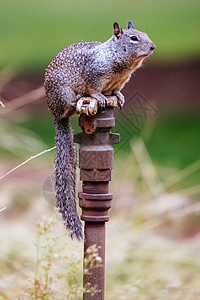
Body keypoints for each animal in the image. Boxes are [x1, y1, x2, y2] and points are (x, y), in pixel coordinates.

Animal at [44, 20, 156, 239]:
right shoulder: (94, 75)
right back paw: (78, 100)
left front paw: (118, 97)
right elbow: (95, 89)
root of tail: (54, 114)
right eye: (133, 38)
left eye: (146, 34)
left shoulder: (121, 81)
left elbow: (116, 91)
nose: (153, 47)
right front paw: (100, 97)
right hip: (63, 93)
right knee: (68, 105)